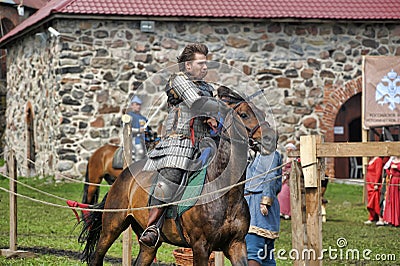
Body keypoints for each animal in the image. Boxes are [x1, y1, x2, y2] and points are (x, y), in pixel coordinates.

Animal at [78, 99, 278, 266]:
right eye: (244, 115)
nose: (270, 139)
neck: (225, 193)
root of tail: (124, 175)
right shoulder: (200, 247)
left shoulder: (236, 244)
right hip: (111, 228)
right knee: (96, 256)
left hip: (148, 245)